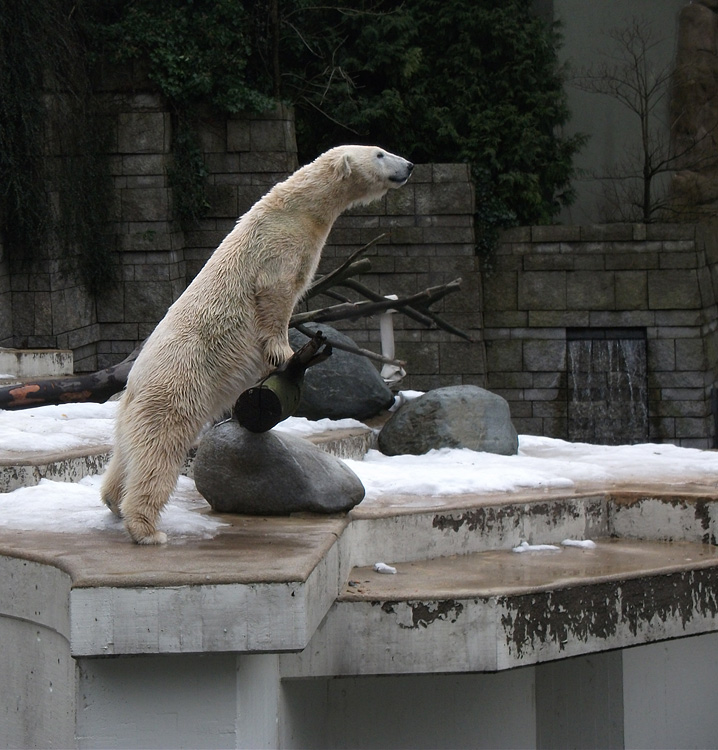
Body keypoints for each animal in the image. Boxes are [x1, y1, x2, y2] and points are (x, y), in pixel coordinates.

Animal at [102, 145, 416, 548]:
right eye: (379, 153)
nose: (409, 165)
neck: (298, 208)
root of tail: (133, 383)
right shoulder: (277, 244)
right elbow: (275, 295)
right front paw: (286, 354)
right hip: (176, 387)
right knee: (159, 450)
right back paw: (147, 529)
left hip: (136, 408)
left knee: (127, 452)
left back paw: (113, 500)